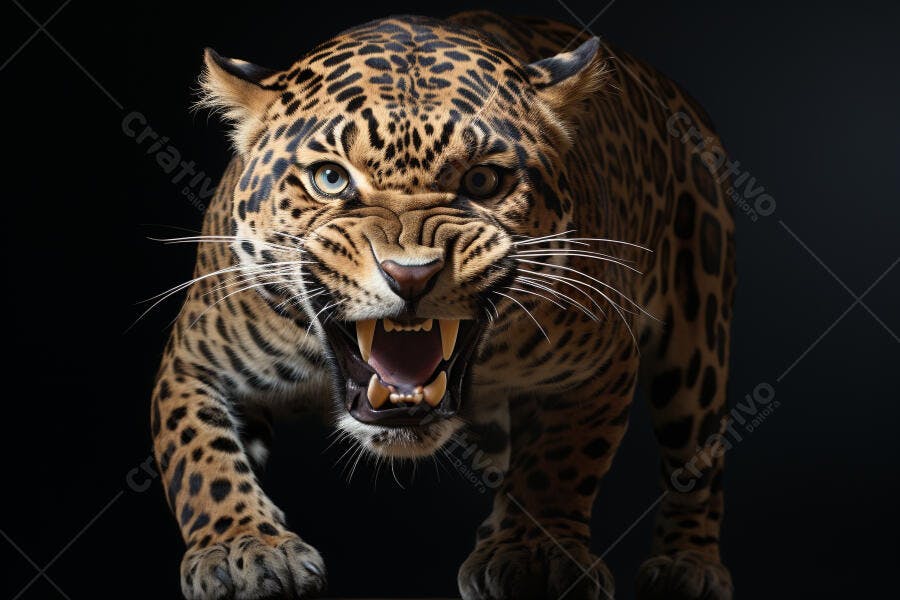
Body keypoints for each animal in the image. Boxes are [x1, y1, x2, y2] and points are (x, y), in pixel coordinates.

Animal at [150, 11, 736, 600]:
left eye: (482, 180)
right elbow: (199, 458)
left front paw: (535, 552)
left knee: (697, 461)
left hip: (698, 345)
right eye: (330, 178)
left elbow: (561, 463)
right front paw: (244, 549)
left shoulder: (603, 362)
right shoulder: (193, 363)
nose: (411, 274)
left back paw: (687, 564)